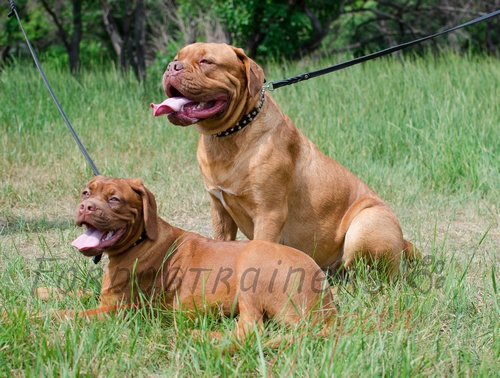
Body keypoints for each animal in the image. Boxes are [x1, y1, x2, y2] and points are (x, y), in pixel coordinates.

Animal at [62, 176, 338, 340]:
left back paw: (198, 334)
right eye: (85, 193)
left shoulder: (117, 309)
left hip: (250, 261)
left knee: (251, 331)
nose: (86, 207)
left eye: (114, 199)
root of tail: (325, 308)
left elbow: (67, 314)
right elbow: (75, 295)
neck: (140, 239)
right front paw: (52, 292)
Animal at [151, 42, 418, 278]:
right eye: (177, 57)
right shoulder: (220, 210)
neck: (231, 133)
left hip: (366, 224)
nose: (172, 66)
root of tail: (403, 242)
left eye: (206, 61)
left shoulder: (269, 212)